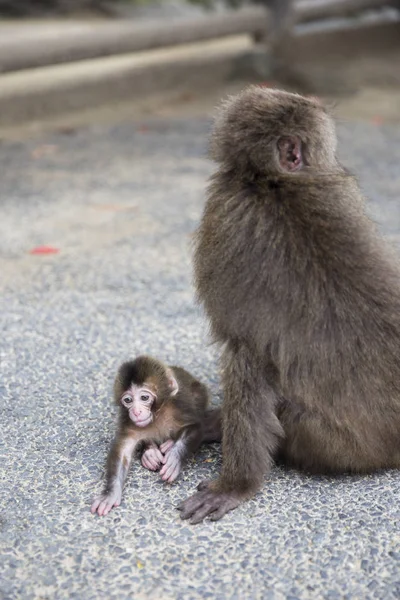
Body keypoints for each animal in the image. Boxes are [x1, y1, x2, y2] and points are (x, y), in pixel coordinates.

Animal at [90, 356, 219, 516]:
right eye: (128, 400)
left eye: (144, 397)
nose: (136, 412)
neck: (157, 414)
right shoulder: (129, 423)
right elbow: (123, 452)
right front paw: (110, 493)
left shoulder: (179, 408)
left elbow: (196, 427)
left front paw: (174, 459)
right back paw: (150, 452)